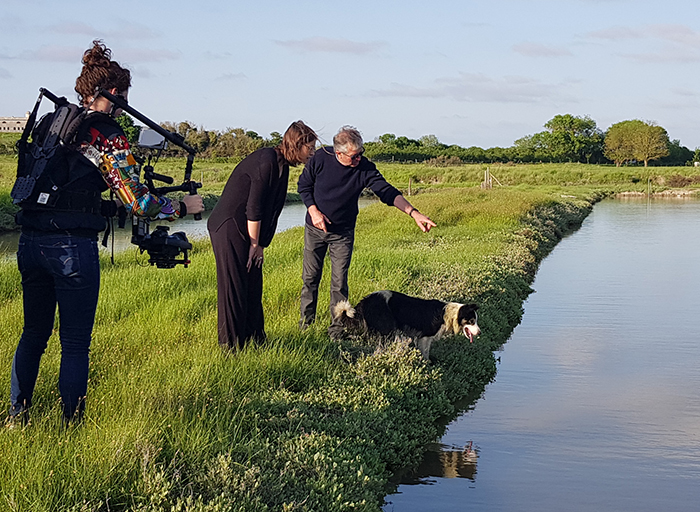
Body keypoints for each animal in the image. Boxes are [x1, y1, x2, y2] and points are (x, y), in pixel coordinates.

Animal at [330, 290, 478, 358]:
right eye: (472, 321)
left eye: (475, 321)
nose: (480, 332)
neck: (449, 314)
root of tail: (365, 301)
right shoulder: (425, 337)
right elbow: (425, 354)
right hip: (386, 329)